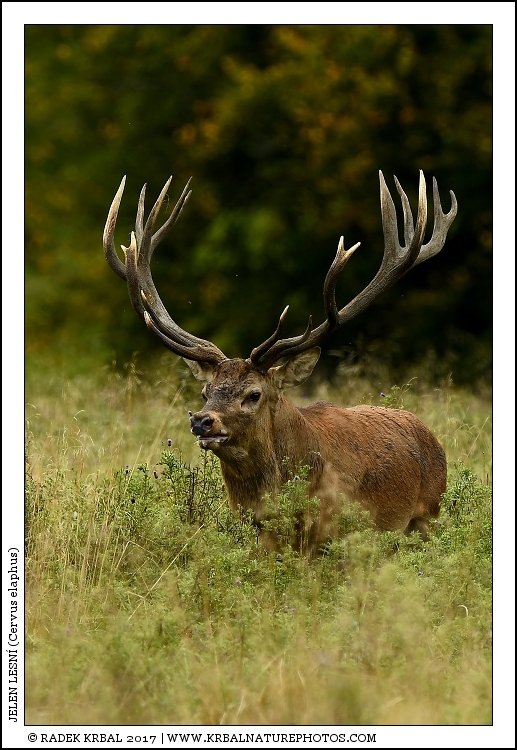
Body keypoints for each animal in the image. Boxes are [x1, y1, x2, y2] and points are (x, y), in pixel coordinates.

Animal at [103, 170, 457, 556]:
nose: (201, 421)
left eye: (254, 394)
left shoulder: (336, 532)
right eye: (206, 391)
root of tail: (432, 437)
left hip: (428, 514)